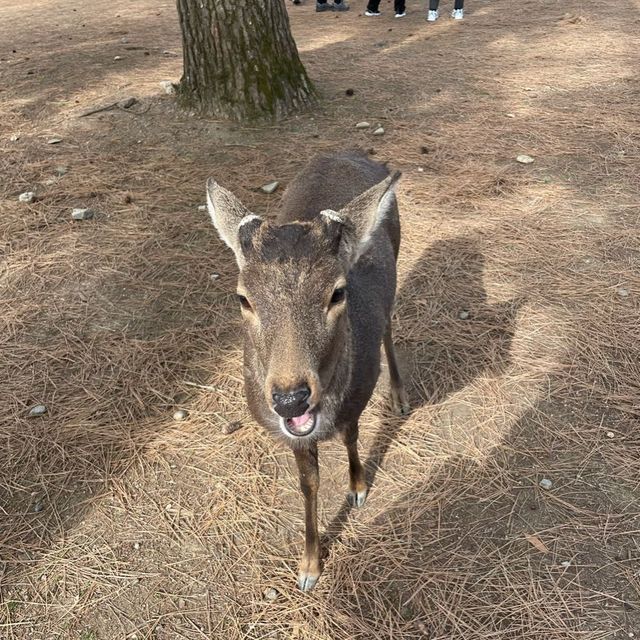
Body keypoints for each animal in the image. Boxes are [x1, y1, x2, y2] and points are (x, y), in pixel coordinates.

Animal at [206, 149, 410, 592]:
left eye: (338, 292)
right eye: (243, 298)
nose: (290, 398)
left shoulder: (357, 395)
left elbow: (352, 436)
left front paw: (358, 488)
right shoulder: (292, 437)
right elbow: (308, 483)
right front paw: (309, 567)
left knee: (389, 323)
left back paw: (400, 396)